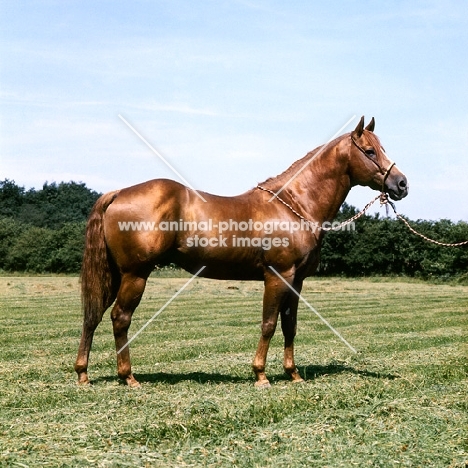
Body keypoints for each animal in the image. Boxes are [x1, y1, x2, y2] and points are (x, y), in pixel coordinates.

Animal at [75, 117, 408, 388]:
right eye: (369, 151)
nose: (401, 183)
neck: (294, 205)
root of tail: (119, 193)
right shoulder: (277, 276)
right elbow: (269, 324)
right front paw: (260, 375)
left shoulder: (296, 281)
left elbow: (290, 326)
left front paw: (293, 374)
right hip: (135, 274)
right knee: (120, 317)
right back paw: (128, 376)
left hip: (116, 274)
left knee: (93, 315)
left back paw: (83, 373)